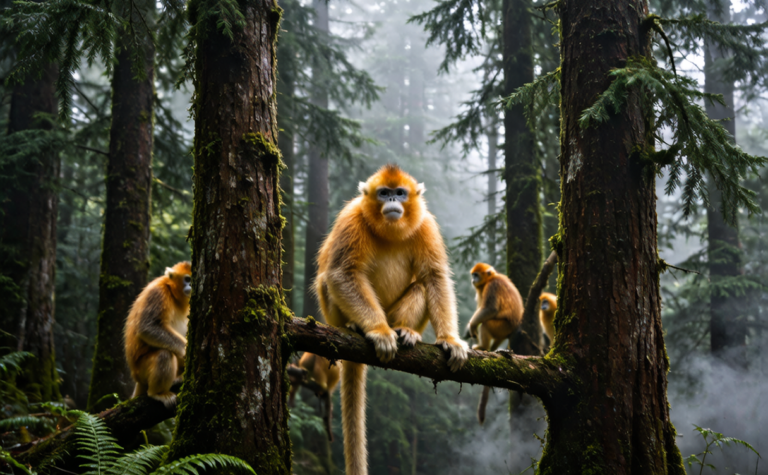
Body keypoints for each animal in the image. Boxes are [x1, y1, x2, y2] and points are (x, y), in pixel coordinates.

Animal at [124, 261, 192, 408]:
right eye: (188, 279)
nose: (191, 285)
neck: (174, 294)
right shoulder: (158, 293)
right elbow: (148, 327)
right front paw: (185, 351)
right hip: (141, 371)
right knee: (164, 354)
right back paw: (157, 393)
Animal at [315, 164, 468, 475]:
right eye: (384, 193)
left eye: (400, 193)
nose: (393, 201)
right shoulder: (351, 218)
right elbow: (341, 273)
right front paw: (379, 331)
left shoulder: (426, 224)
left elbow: (434, 277)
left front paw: (449, 339)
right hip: (332, 314)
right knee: (328, 278)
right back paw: (355, 325)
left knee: (421, 285)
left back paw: (404, 330)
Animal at [466, 262, 523, 424]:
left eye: (476, 275)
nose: (473, 279)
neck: (491, 278)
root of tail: (514, 327)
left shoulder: (492, 287)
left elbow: (490, 309)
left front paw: (472, 325)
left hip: (501, 326)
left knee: (485, 324)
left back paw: (483, 347)